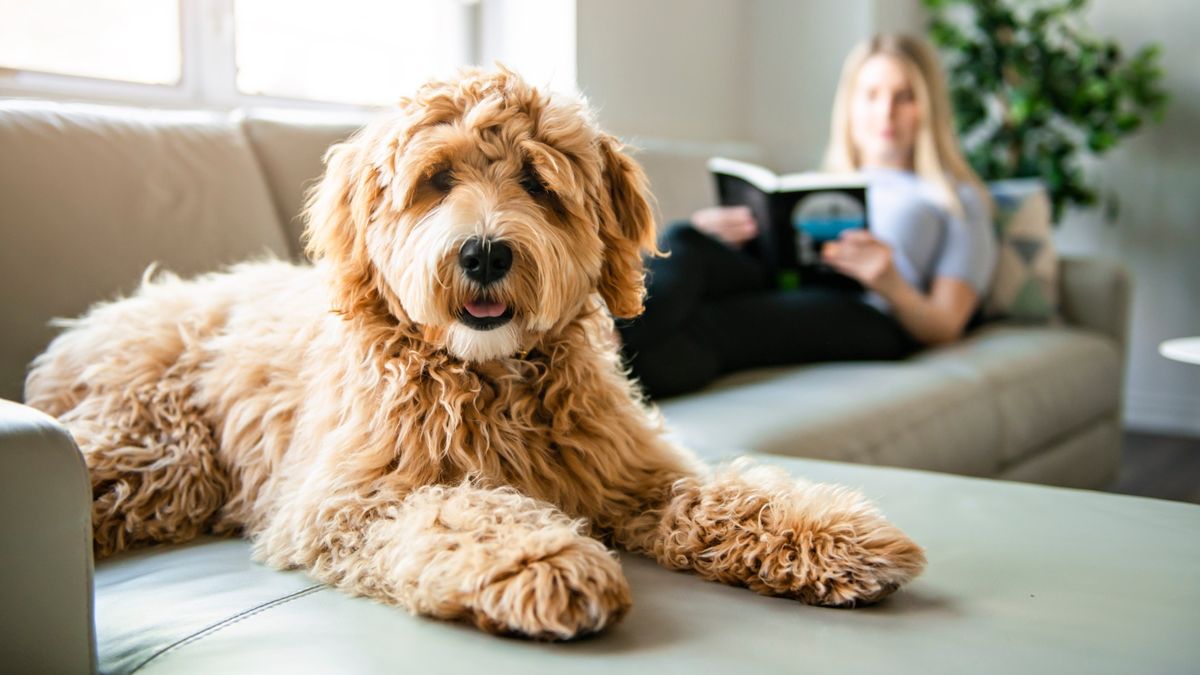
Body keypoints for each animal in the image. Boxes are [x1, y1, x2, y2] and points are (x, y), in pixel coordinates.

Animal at [25, 68, 926, 634]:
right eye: (436, 180)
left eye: (537, 182)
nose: (486, 253)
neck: (490, 377)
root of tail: (98, 318)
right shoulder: (347, 499)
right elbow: (460, 508)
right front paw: (543, 558)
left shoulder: (631, 470)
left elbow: (721, 493)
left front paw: (833, 532)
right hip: (159, 452)